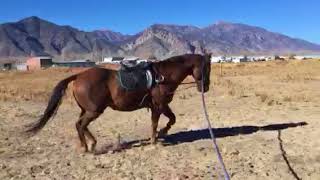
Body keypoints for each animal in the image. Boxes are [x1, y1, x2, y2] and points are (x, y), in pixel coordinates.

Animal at [26, 53, 212, 153]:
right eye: (205, 68)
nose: (206, 87)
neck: (163, 76)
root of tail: (79, 76)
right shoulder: (158, 106)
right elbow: (155, 123)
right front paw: (155, 139)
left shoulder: (162, 106)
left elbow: (172, 119)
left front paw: (163, 132)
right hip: (94, 111)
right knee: (80, 125)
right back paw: (88, 146)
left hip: (86, 110)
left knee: (80, 125)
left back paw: (90, 144)